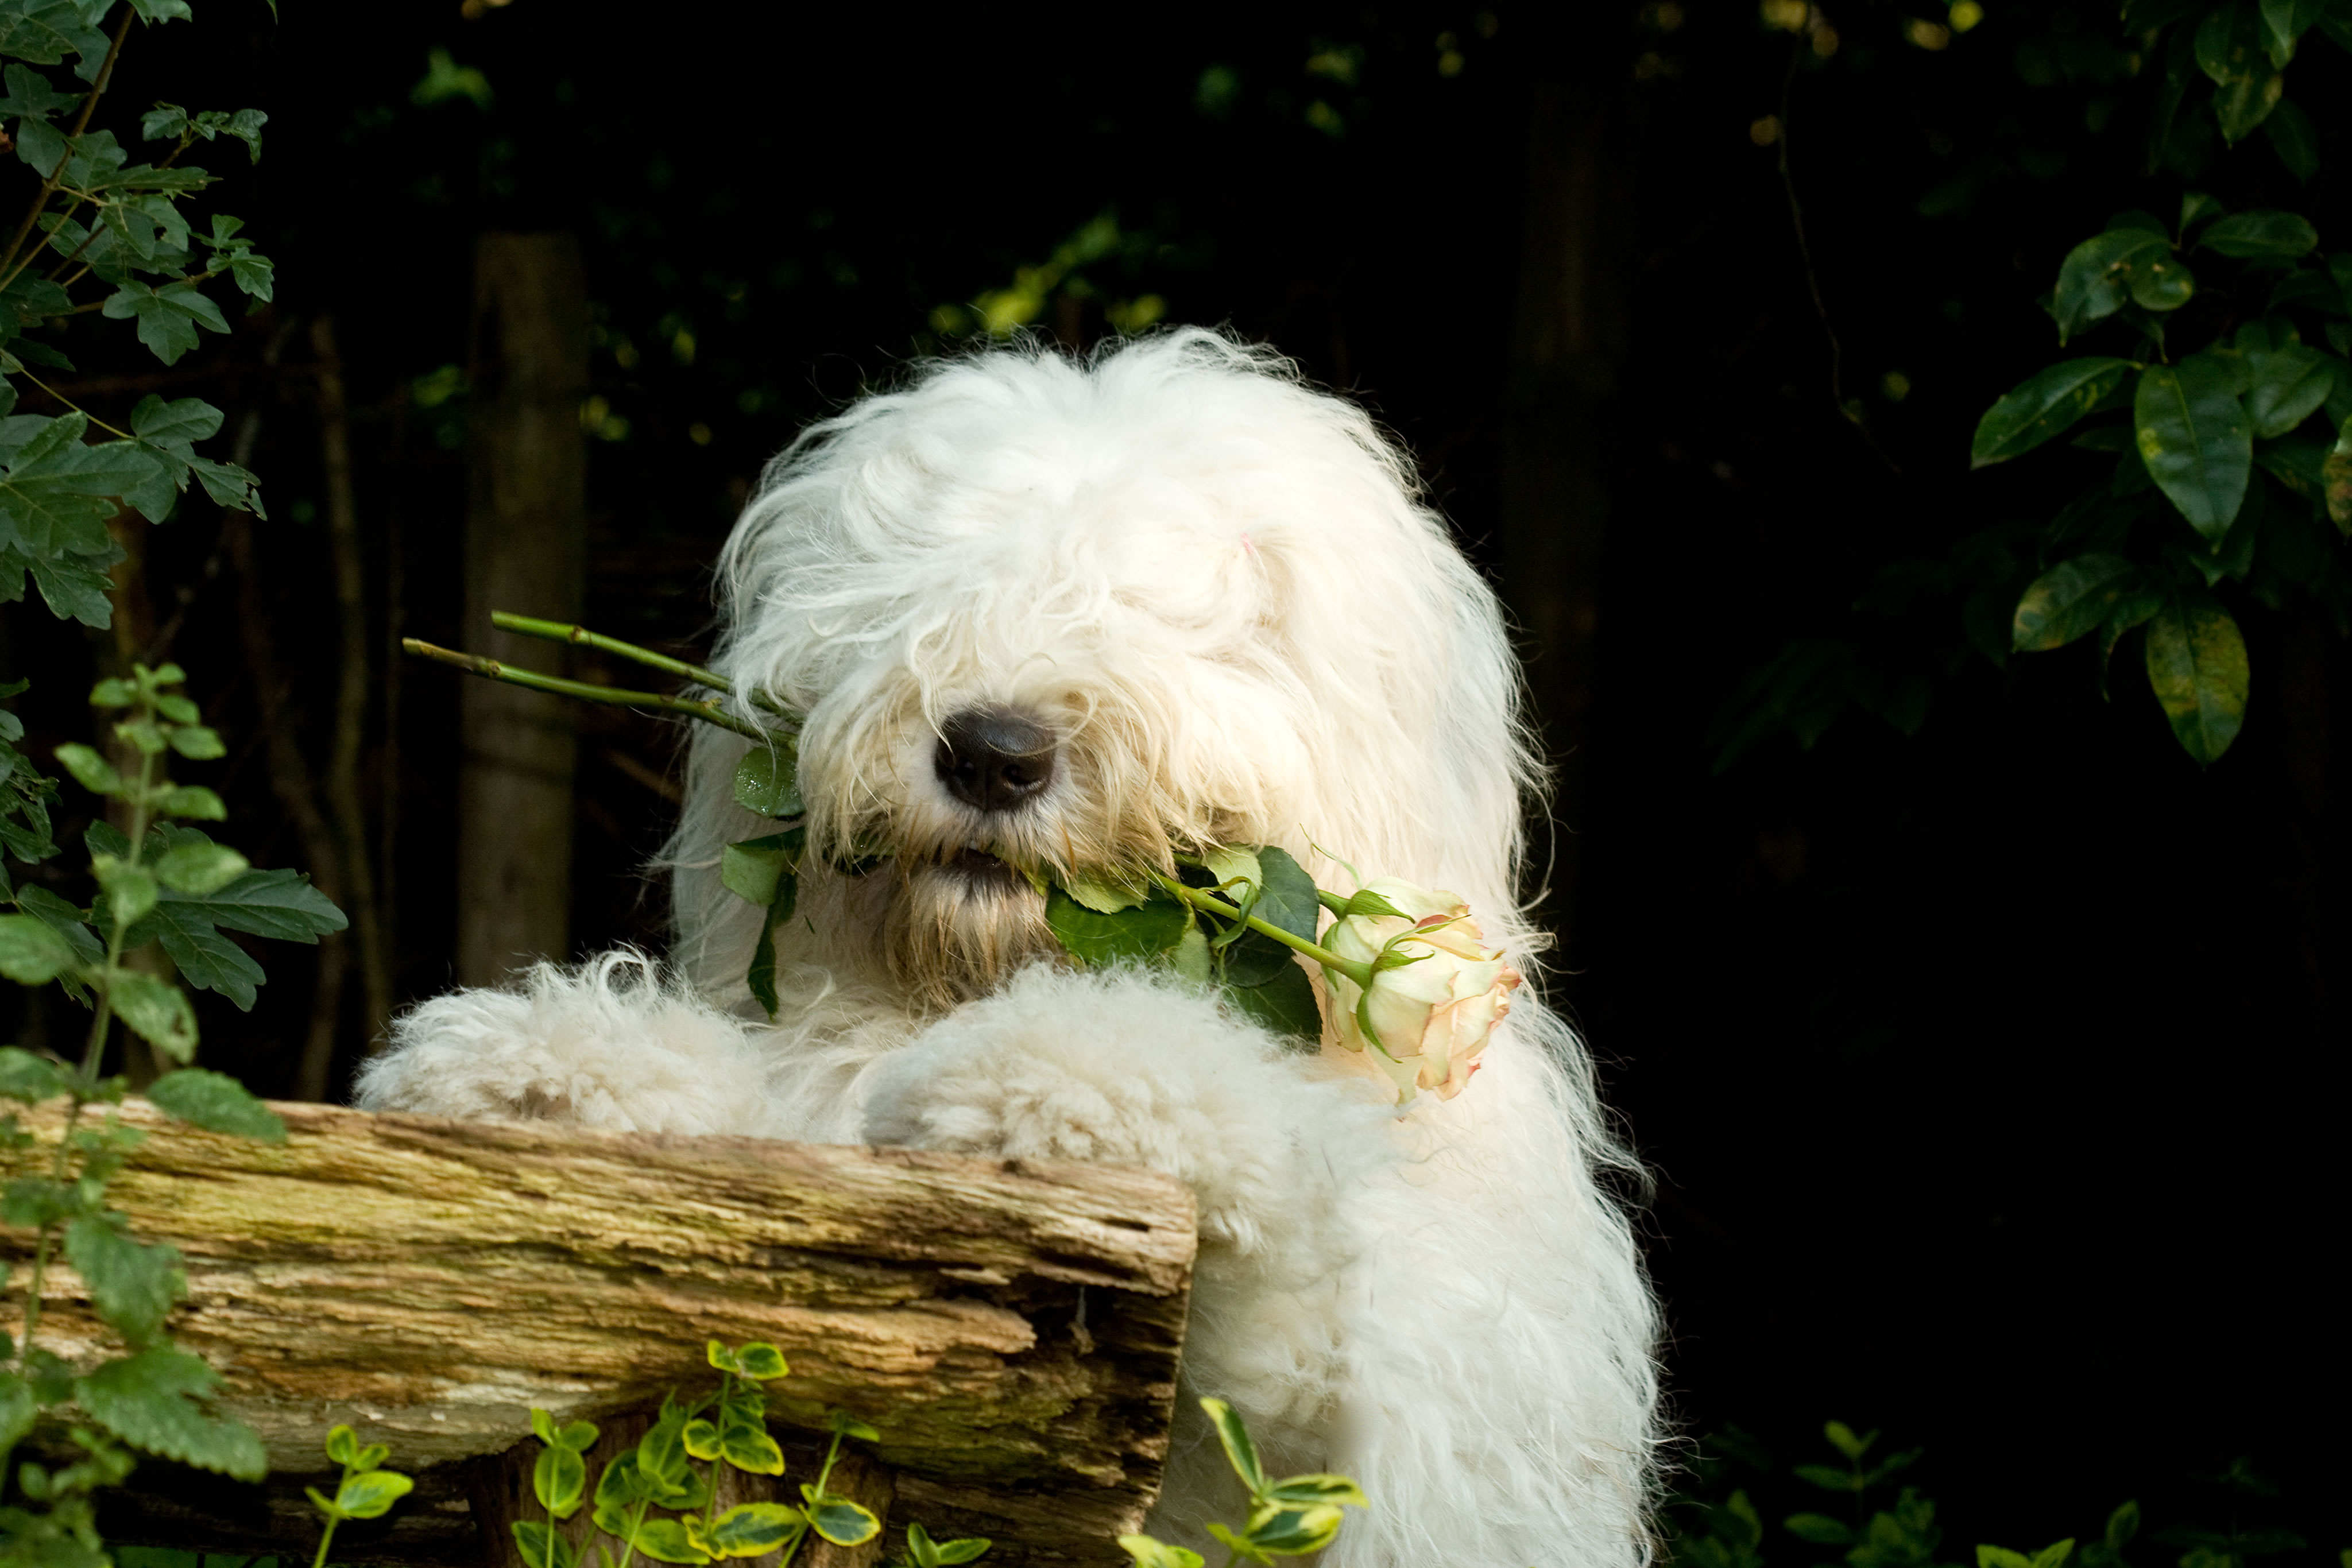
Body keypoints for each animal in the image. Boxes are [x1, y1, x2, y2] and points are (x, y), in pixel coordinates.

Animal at [357, 324, 1665, 1561]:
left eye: (1188, 616)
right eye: (930, 593)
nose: (993, 752)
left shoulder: (1407, 1383)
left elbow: (1287, 1305)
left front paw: (1064, 1082)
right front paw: (556, 1069)